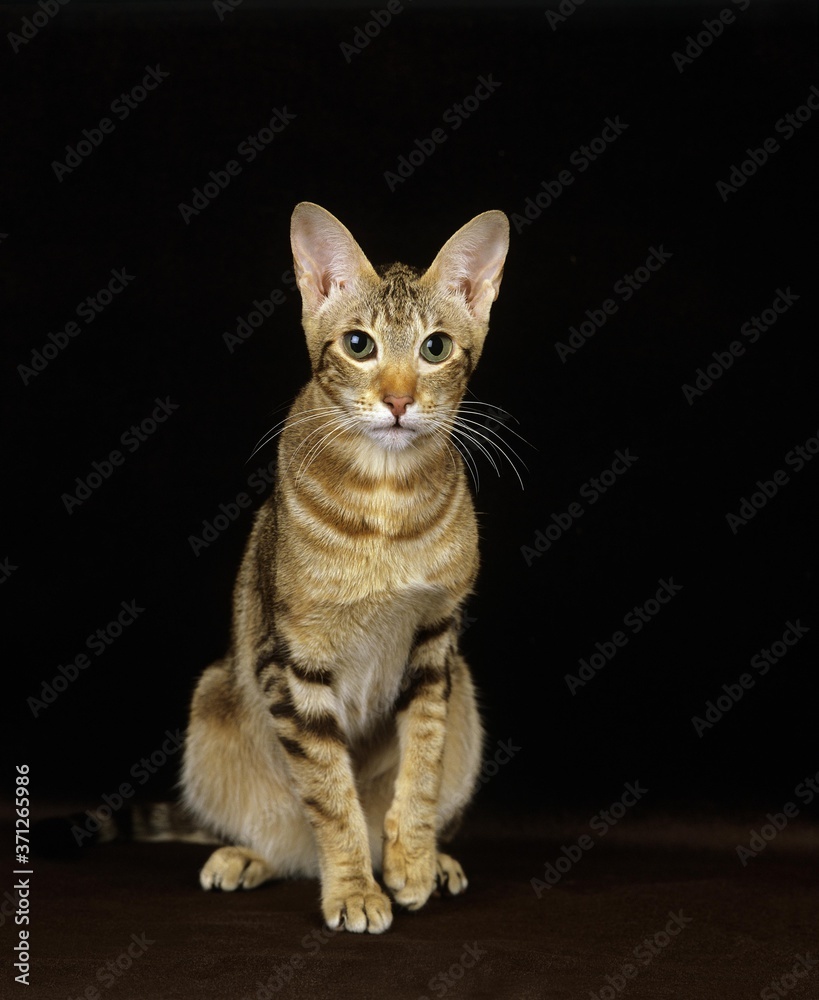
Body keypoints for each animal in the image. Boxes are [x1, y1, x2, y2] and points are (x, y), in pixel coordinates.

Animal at [183, 199, 510, 932]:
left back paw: (436, 861)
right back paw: (248, 856)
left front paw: (410, 861)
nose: (398, 400)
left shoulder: (434, 642)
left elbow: (421, 762)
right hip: (213, 698)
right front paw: (355, 888)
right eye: (359, 346)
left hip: (468, 695)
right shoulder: (293, 662)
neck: (385, 504)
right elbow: (330, 795)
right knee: (287, 838)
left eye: (435, 348)